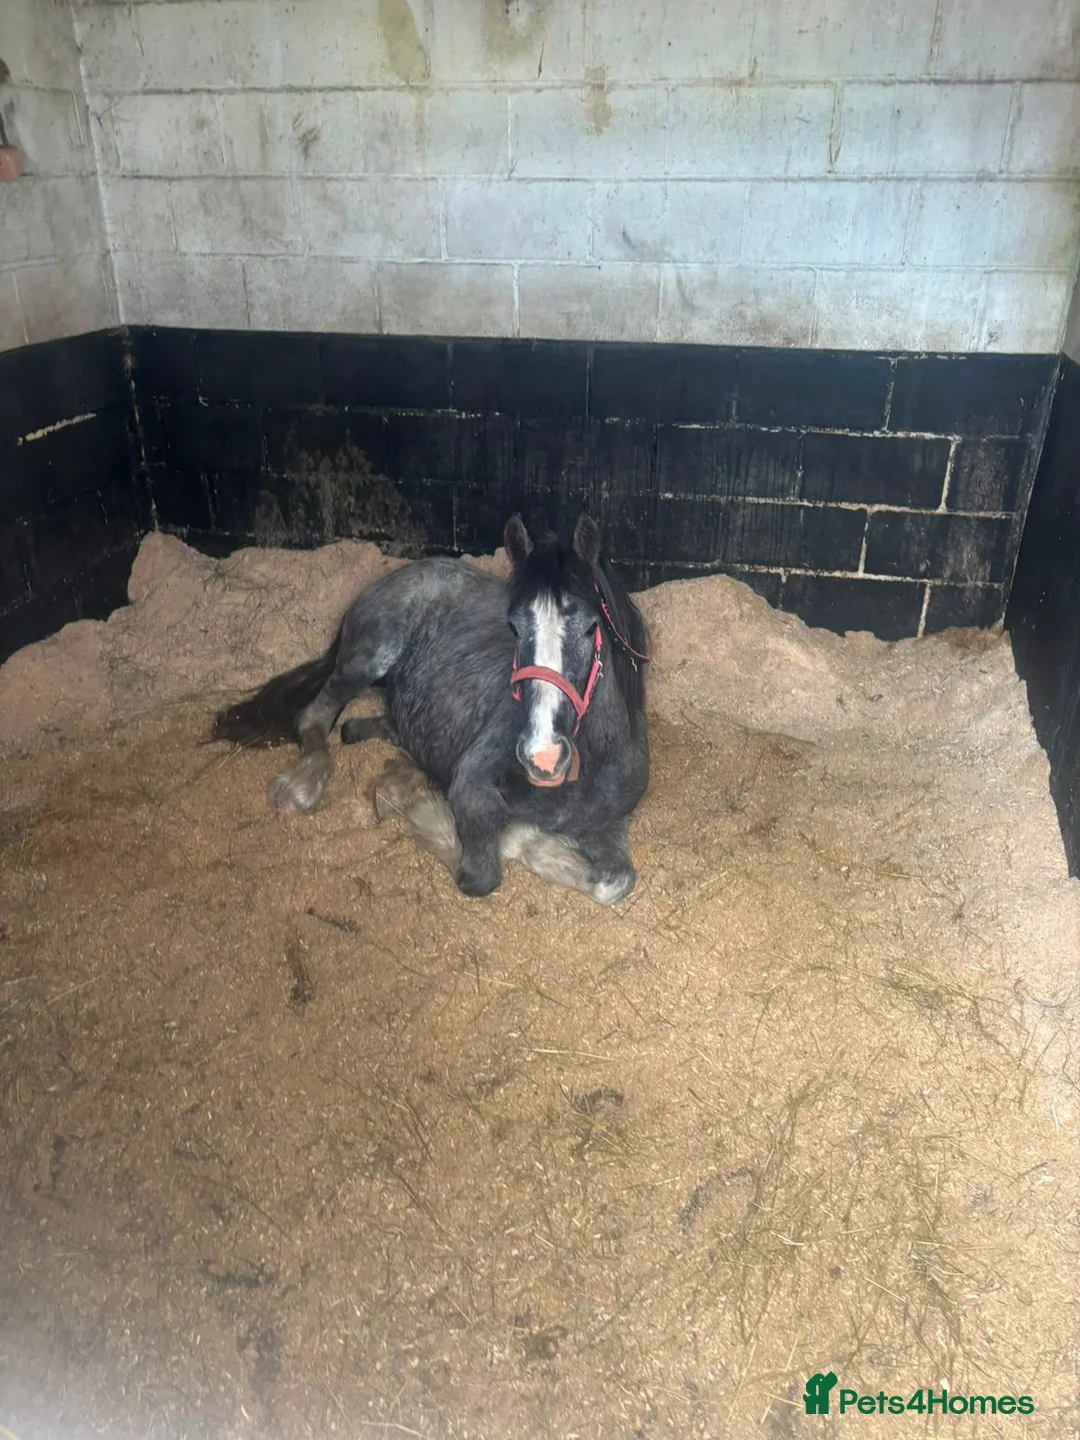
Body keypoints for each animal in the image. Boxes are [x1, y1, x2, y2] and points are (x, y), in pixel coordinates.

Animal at [212, 515, 650, 906]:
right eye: (512, 626)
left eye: (591, 627)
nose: (543, 755)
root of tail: (406, 572)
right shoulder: (472, 791)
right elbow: (483, 872)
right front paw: (439, 816)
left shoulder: (608, 824)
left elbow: (616, 882)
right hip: (369, 657)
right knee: (314, 717)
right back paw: (303, 787)